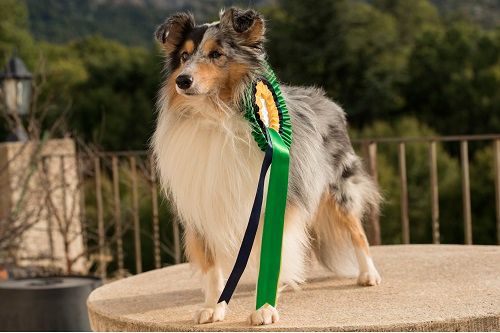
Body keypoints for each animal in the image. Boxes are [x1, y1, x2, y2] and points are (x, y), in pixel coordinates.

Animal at [150, 7, 380, 324]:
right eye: (184, 56)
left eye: (216, 54)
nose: (182, 81)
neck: (218, 115)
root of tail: (325, 99)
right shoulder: (204, 202)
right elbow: (211, 265)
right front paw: (213, 306)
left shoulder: (273, 199)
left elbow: (272, 254)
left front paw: (265, 308)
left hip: (339, 187)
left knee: (356, 229)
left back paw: (368, 274)